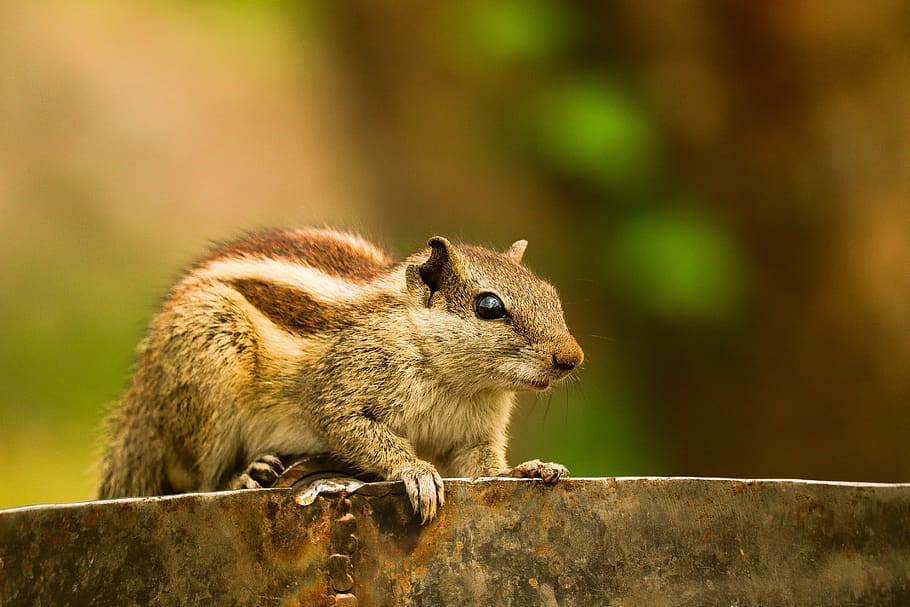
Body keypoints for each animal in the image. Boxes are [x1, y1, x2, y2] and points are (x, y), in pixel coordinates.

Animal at [97, 228, 584, 522]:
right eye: (489, 307)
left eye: (551, 295)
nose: (572, 358)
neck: (457, 381)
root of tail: (139, 405)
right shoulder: (337, 389)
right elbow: (349, 426)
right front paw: (415, 472)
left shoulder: (472, 436)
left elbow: (484, 470)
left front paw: (528, 469)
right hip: (210, 370)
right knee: (202, 478)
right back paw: (244, 476)